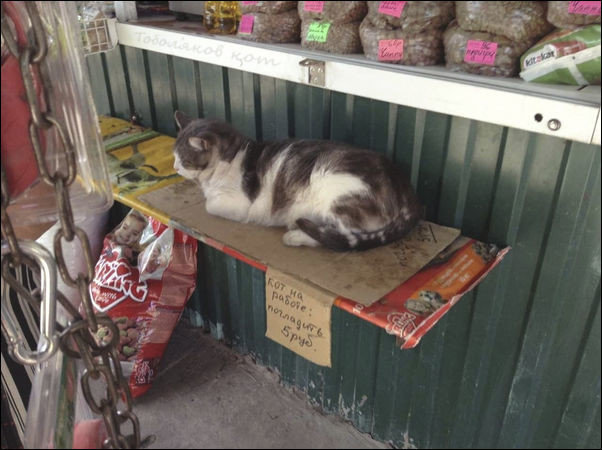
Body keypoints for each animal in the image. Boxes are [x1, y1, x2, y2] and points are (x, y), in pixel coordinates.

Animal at [171, 108, 420, 250]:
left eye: (182, 159)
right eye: (174, 155)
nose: (174, 166)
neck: (231, 157)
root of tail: (407, 192)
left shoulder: (240, 204)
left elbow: (209, 205)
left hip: (338, 194)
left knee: (338, 236)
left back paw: (294, 234)